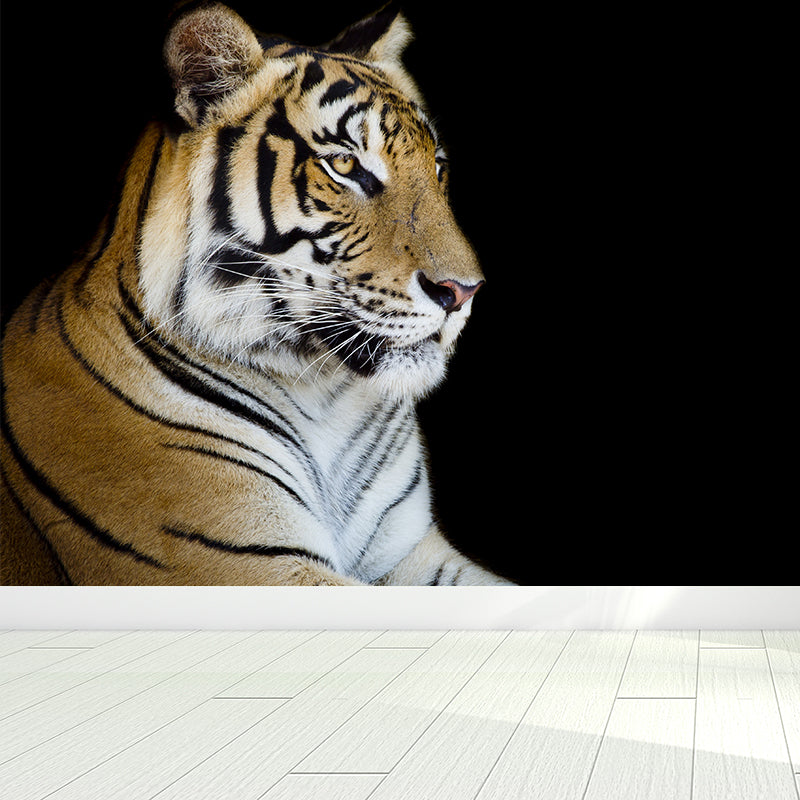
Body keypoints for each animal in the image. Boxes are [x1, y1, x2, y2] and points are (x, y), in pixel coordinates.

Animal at [0, 2, 513, 586]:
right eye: (344, 165)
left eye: (438, 168)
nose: (463, 291)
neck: (325, 396)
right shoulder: (244, 559)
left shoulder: (410, 553)